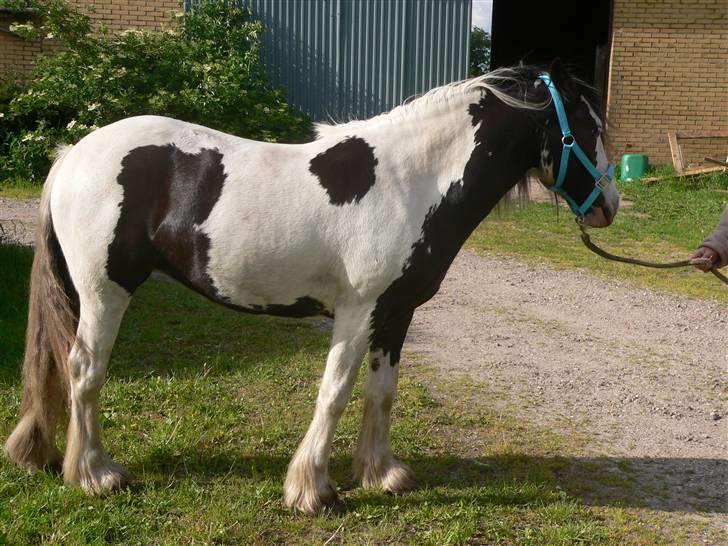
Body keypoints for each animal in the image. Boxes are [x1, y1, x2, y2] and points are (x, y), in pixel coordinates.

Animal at [5, 61, 620, 512]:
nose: (609, 206)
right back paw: (95, 474)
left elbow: (382, 391)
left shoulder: (396, 313)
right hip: (105, 292)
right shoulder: (357, 311)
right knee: (84, 370)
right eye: (588, 129)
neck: (412, 182)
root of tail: (73, 156)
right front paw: (311, 490)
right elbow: (335, 391)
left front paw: (381, 473)